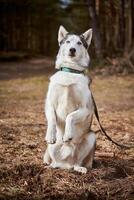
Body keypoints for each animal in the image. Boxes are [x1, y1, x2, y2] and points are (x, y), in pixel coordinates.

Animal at [43, 25, 96, 173]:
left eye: (79, 43)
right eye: (67, 42)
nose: (72, 49)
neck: (70, 71)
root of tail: (66, 163)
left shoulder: (85, 108)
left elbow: (70, 116)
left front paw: (67, 134)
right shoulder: (49, 104)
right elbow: (52, 118)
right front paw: (51, 135)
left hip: (91, 137)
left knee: (77, 162)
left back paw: (79, 168)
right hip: (51, 149)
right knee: (54, 161)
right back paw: (52, 166)